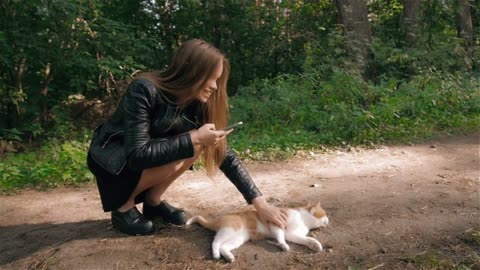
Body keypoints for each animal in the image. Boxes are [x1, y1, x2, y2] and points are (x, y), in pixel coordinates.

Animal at [186, 202, 328, 262]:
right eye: (325, 213)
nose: (329, 219)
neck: (304, 219)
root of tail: (218, 219)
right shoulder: (276, 223)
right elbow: (280, 236)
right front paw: (282, 245)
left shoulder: (292, 235)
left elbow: (307, 239)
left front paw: (315, 245)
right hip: (230, 230)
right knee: (215, 242)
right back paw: (215, 254)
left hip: (238, 239)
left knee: (223, 246)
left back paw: (228, 256)